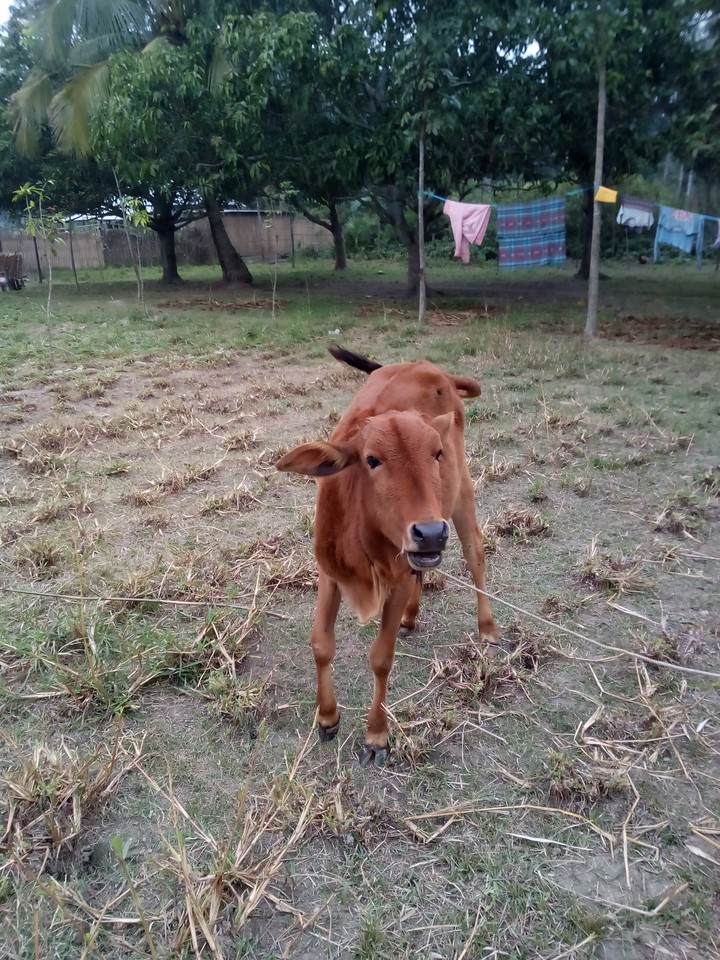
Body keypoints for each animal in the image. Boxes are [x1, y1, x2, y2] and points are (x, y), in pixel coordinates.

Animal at [276, 344, 498, 766]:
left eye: (436, 453)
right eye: (372, 459)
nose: (430, 533)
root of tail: (431, 367)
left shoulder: (395, 579)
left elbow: (381, 657)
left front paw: (376, 735)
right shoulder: (330, 573)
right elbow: (321, 643)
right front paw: (327, 716)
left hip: (460, 495)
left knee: (475, 554)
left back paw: (488, 629)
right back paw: (412, 615)